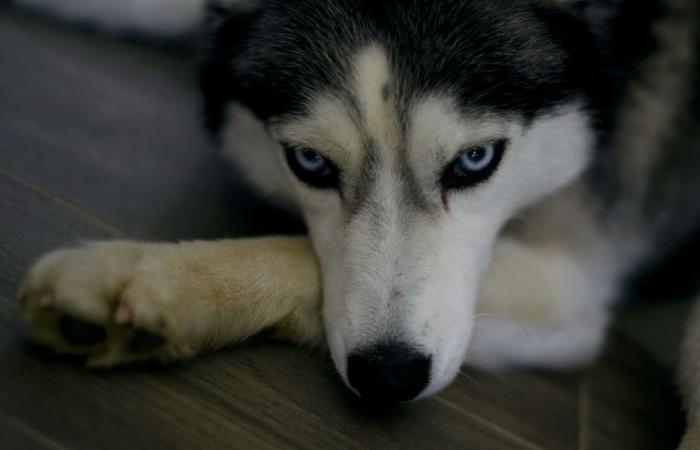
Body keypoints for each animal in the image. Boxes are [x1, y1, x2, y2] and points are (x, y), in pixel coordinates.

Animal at [15, 0, 700, 446]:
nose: (389, 376)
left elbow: (293, 253)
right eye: (310, 162)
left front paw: (149, 275)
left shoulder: (569, 285)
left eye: (476, 159)